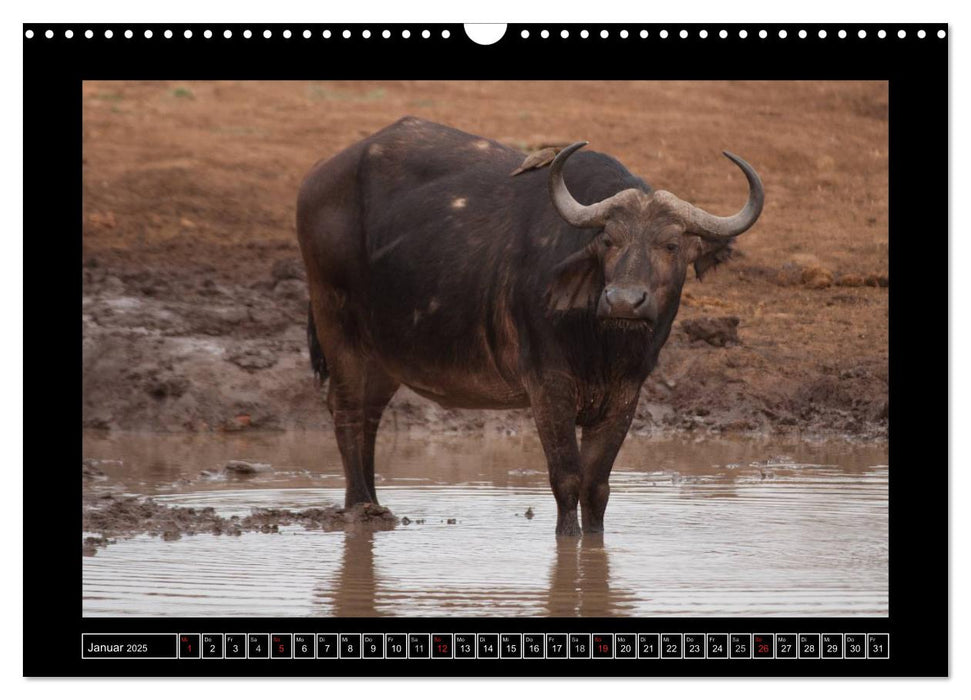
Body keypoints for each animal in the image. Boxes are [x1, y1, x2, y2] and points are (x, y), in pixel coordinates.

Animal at [298, 117, 768, 532]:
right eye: (608, 241)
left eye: (671, 245)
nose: (623, 301)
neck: (603, 344)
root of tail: (317, 178)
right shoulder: (549, 388)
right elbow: (567, 479)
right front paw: (569, 540)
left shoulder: (626, 394)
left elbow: (597, 486)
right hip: (335, 321)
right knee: (347, 412)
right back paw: (361, 508)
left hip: (385, 356)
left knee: (369, 416)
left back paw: (372, 504)